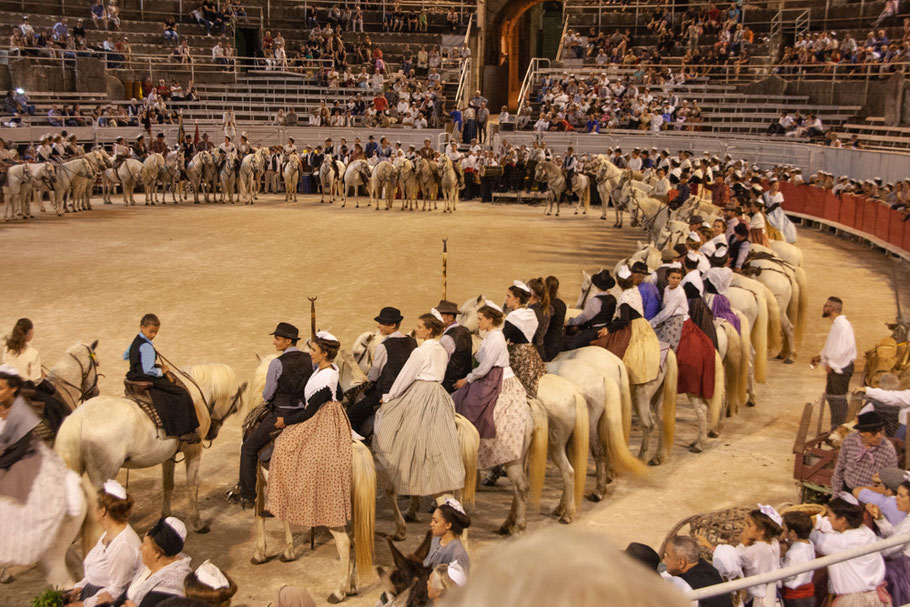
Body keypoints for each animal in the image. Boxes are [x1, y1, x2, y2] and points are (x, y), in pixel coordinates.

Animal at [57, 364, 249, 536]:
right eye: (234, 408)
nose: (212, 434)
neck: (195, 394)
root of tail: (78, 418)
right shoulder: (193, 450)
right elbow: (192, 486)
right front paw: (198, 523)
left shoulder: (169, 456)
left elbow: (168, 484)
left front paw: (165, 516)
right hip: (103, 476)